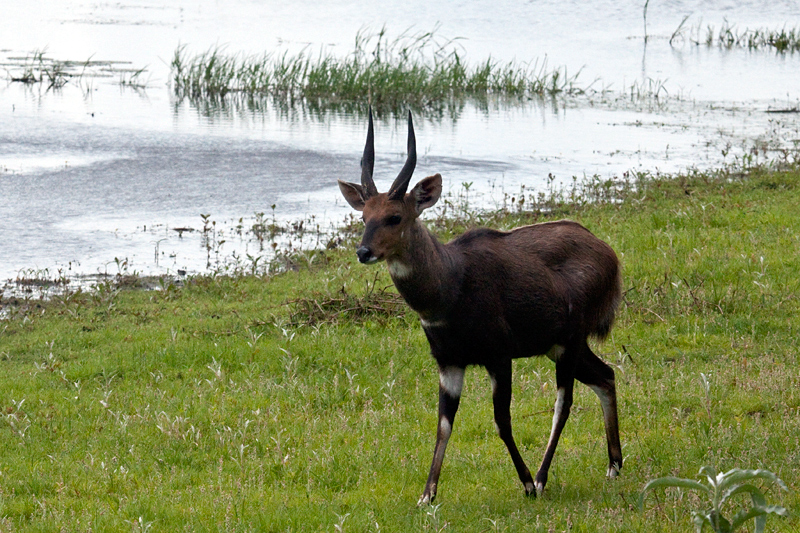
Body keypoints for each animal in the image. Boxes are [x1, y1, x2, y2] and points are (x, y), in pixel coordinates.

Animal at [338, 109, 624, 502]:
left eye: (395, 217)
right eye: (364, 216)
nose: (363, 251)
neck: (449, 288)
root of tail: (610, 255)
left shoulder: (498, 356)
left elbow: (502, 421)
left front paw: (525, 484)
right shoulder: (449, 363)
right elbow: (443, 424)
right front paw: (427, 496)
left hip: (569, 341)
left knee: (563, 402)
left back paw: (542, 478)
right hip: (559, 346)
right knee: (606, 375)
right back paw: (613, 465)